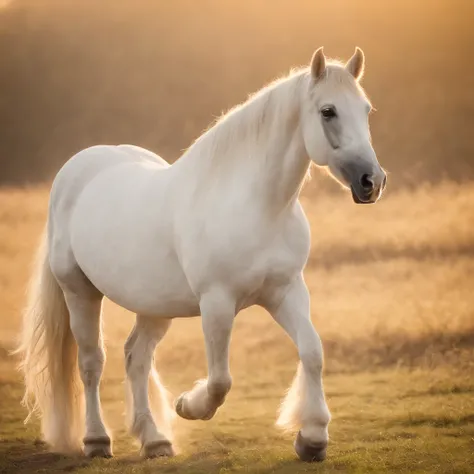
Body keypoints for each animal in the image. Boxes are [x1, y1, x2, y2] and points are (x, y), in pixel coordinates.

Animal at [17, 48, 386, 462]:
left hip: (153, 306)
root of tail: (75, 170)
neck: (258, 207)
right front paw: (188, 406)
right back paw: (97, 440)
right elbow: (221, 380)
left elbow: (312, 351)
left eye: (366, 109)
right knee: (92, 362)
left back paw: (155, 440)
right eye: (328, 111)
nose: (372, 181)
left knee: (136, 358)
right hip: (79, 291)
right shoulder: (217, 302)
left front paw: (312, 438)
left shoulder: (286, 292)